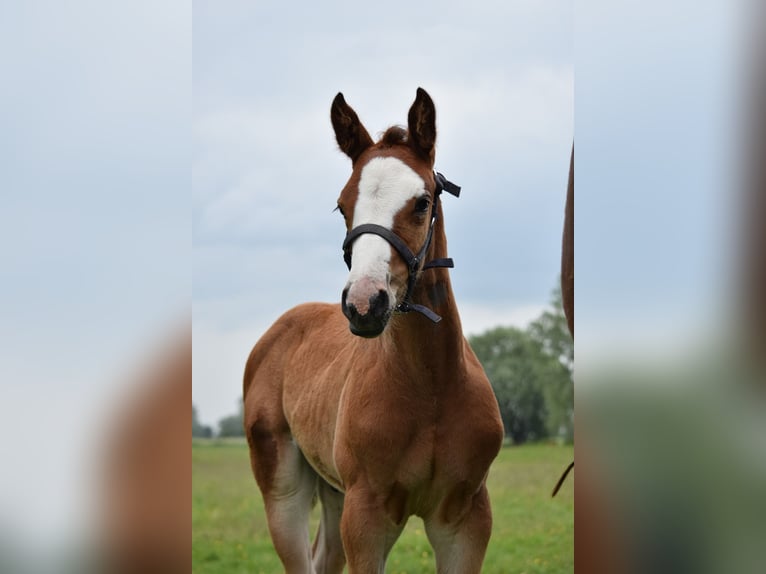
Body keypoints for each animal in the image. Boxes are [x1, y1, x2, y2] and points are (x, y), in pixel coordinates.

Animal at [243, 88, 504, 573]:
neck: (431, 385)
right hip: (283, 488)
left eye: (422, 202)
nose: (364, 304)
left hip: (333, 492)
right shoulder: (366, 516)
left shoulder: (466, 519)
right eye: (342, 205)